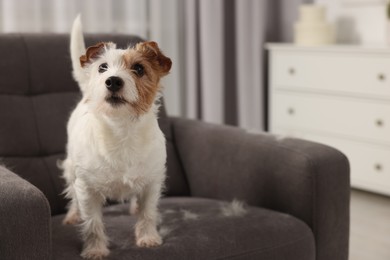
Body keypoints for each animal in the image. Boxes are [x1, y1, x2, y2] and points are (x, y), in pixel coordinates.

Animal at [61, 16, 171, 260]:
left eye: (139, 68)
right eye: (102, 67)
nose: (112, 81)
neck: (122, 130)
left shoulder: (153, 181)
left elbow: (148, 212)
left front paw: (148, 238)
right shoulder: (87, 189)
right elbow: (92, 223)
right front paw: (95, 249)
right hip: (71, 167)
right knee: (72, 193)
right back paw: (73, 214)